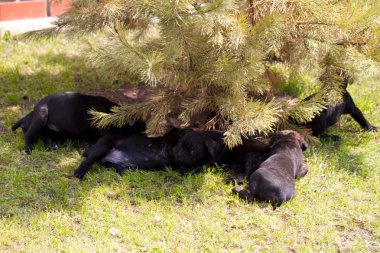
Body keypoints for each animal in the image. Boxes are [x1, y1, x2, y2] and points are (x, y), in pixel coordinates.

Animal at [11, 92, 145, 153]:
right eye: (139, 125)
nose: (146, 131)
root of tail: (35, 108)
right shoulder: (102, 128)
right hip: (41, 117)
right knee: (30, 134)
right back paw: (29, 149)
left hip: (46, 126)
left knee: (45, 135)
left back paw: (52, 145)